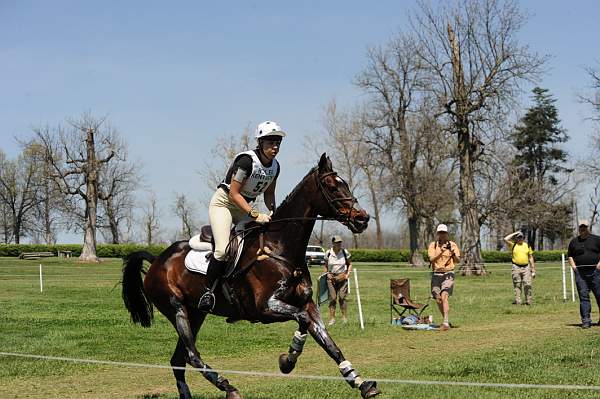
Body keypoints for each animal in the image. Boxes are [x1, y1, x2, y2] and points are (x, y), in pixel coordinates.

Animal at [123, 155, 380, 399]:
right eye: (332, 187)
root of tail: (158, 259)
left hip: (196, 313)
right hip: (177, 309)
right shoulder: (265, 308)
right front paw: (288, 360)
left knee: (179, 359)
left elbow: (328, 342)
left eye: (345, 184)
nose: (362, 218)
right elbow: (302, 321)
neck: (280, 248)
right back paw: (228, 387)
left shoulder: (307, 304)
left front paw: (361, 383)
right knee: (191, 354)